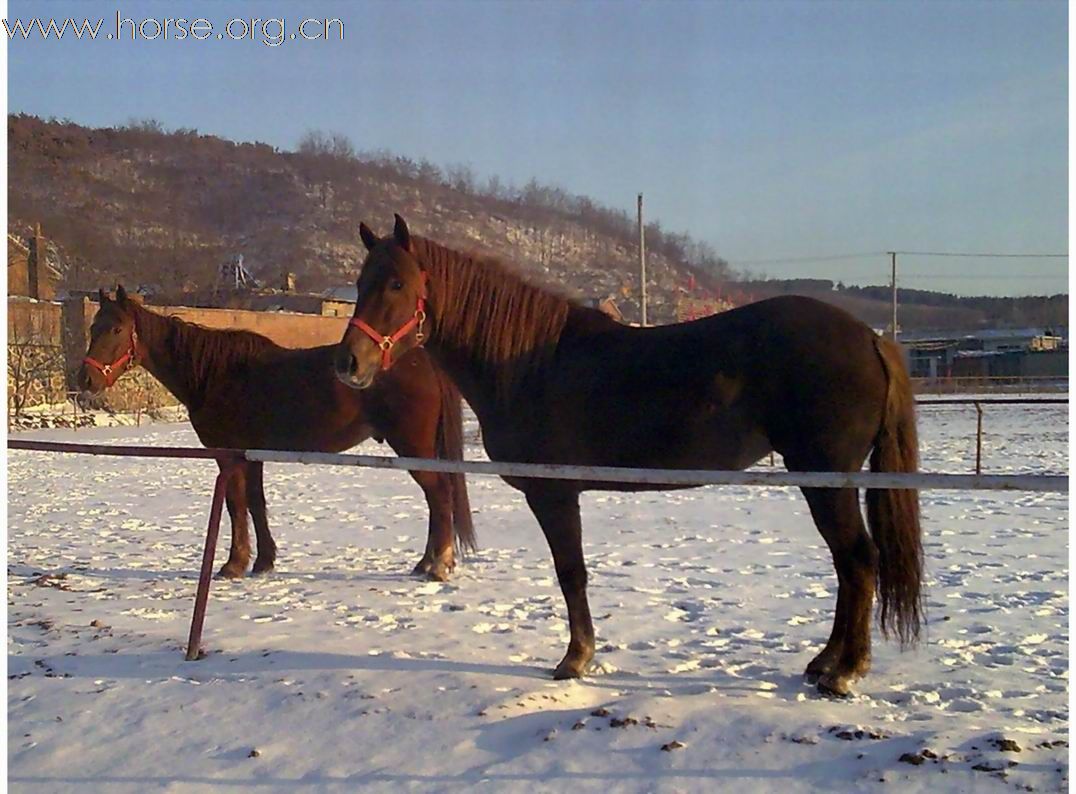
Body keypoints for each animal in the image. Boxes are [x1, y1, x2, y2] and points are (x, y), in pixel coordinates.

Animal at [78, 288, 473, 576]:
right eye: (93, 327)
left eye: (116, 329)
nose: (87, 379)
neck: (217, 374)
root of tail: (422, 359)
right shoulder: (252, 457)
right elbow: (256, 504)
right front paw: (263, 561)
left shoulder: (229, 457)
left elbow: (237, 506)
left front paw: (234, 564)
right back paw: (426, 562)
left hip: (412, 447)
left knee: (439, 495)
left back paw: (437, 565)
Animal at [335, 215, 925, 692]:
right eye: (360, 284)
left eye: (397, 283)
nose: (349, 363)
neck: (529, 364)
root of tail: (870, 338)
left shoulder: (553, 494)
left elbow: (570, 573)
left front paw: (575, 660)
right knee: (849, 564)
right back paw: (825, 663)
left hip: (825, 478)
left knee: (858, 560)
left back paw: (845, 672)